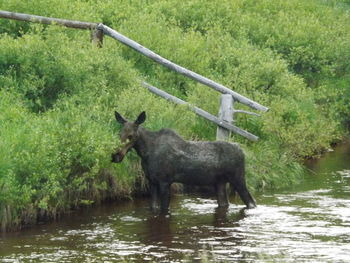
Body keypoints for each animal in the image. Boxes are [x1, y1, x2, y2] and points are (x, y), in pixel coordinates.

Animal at [113, 112, 258, 213]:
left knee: (251, 202)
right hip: (220, 182)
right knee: (224, 203)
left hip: (238, 178)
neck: (145, 152)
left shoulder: (165, 181)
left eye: (131, 136)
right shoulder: (152, 181)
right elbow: (153, 207)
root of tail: (243, 152)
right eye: (119, 134)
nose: (115, 155)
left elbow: (164, 209)